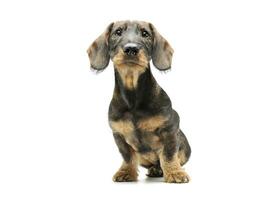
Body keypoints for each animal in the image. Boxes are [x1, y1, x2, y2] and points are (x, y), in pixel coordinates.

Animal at [87, 20, 191, 183]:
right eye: (117, 32)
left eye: (145, 33)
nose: (131, 49)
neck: (133, 99)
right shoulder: (119, 135)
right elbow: (127, 156)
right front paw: (126, 172)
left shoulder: (170, 130)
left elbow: (168, 155)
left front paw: (175, 173)